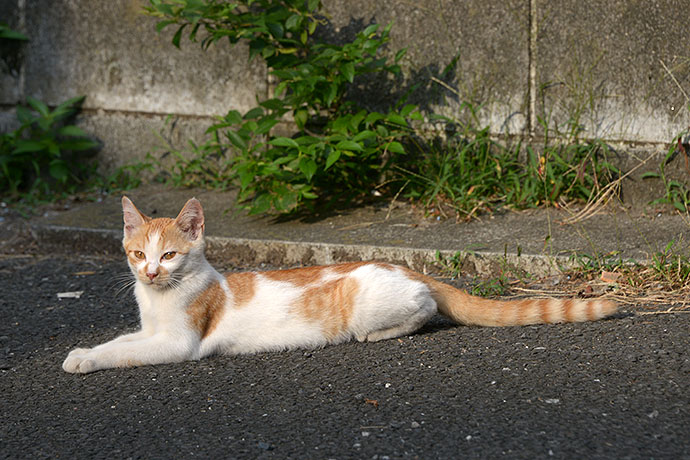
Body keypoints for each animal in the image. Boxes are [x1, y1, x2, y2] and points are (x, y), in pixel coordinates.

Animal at [61, 196, 616, 372]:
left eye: (170, 254)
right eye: (138, 254)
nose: (151, 272)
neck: (158, 299)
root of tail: (408, 267)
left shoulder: (177, 342)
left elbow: (126, 353)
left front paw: (88, 361)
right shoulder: (149, 329)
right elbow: (120, 340)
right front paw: (83, 351)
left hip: (376, 305)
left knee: (423, 312)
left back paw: (378, 333)